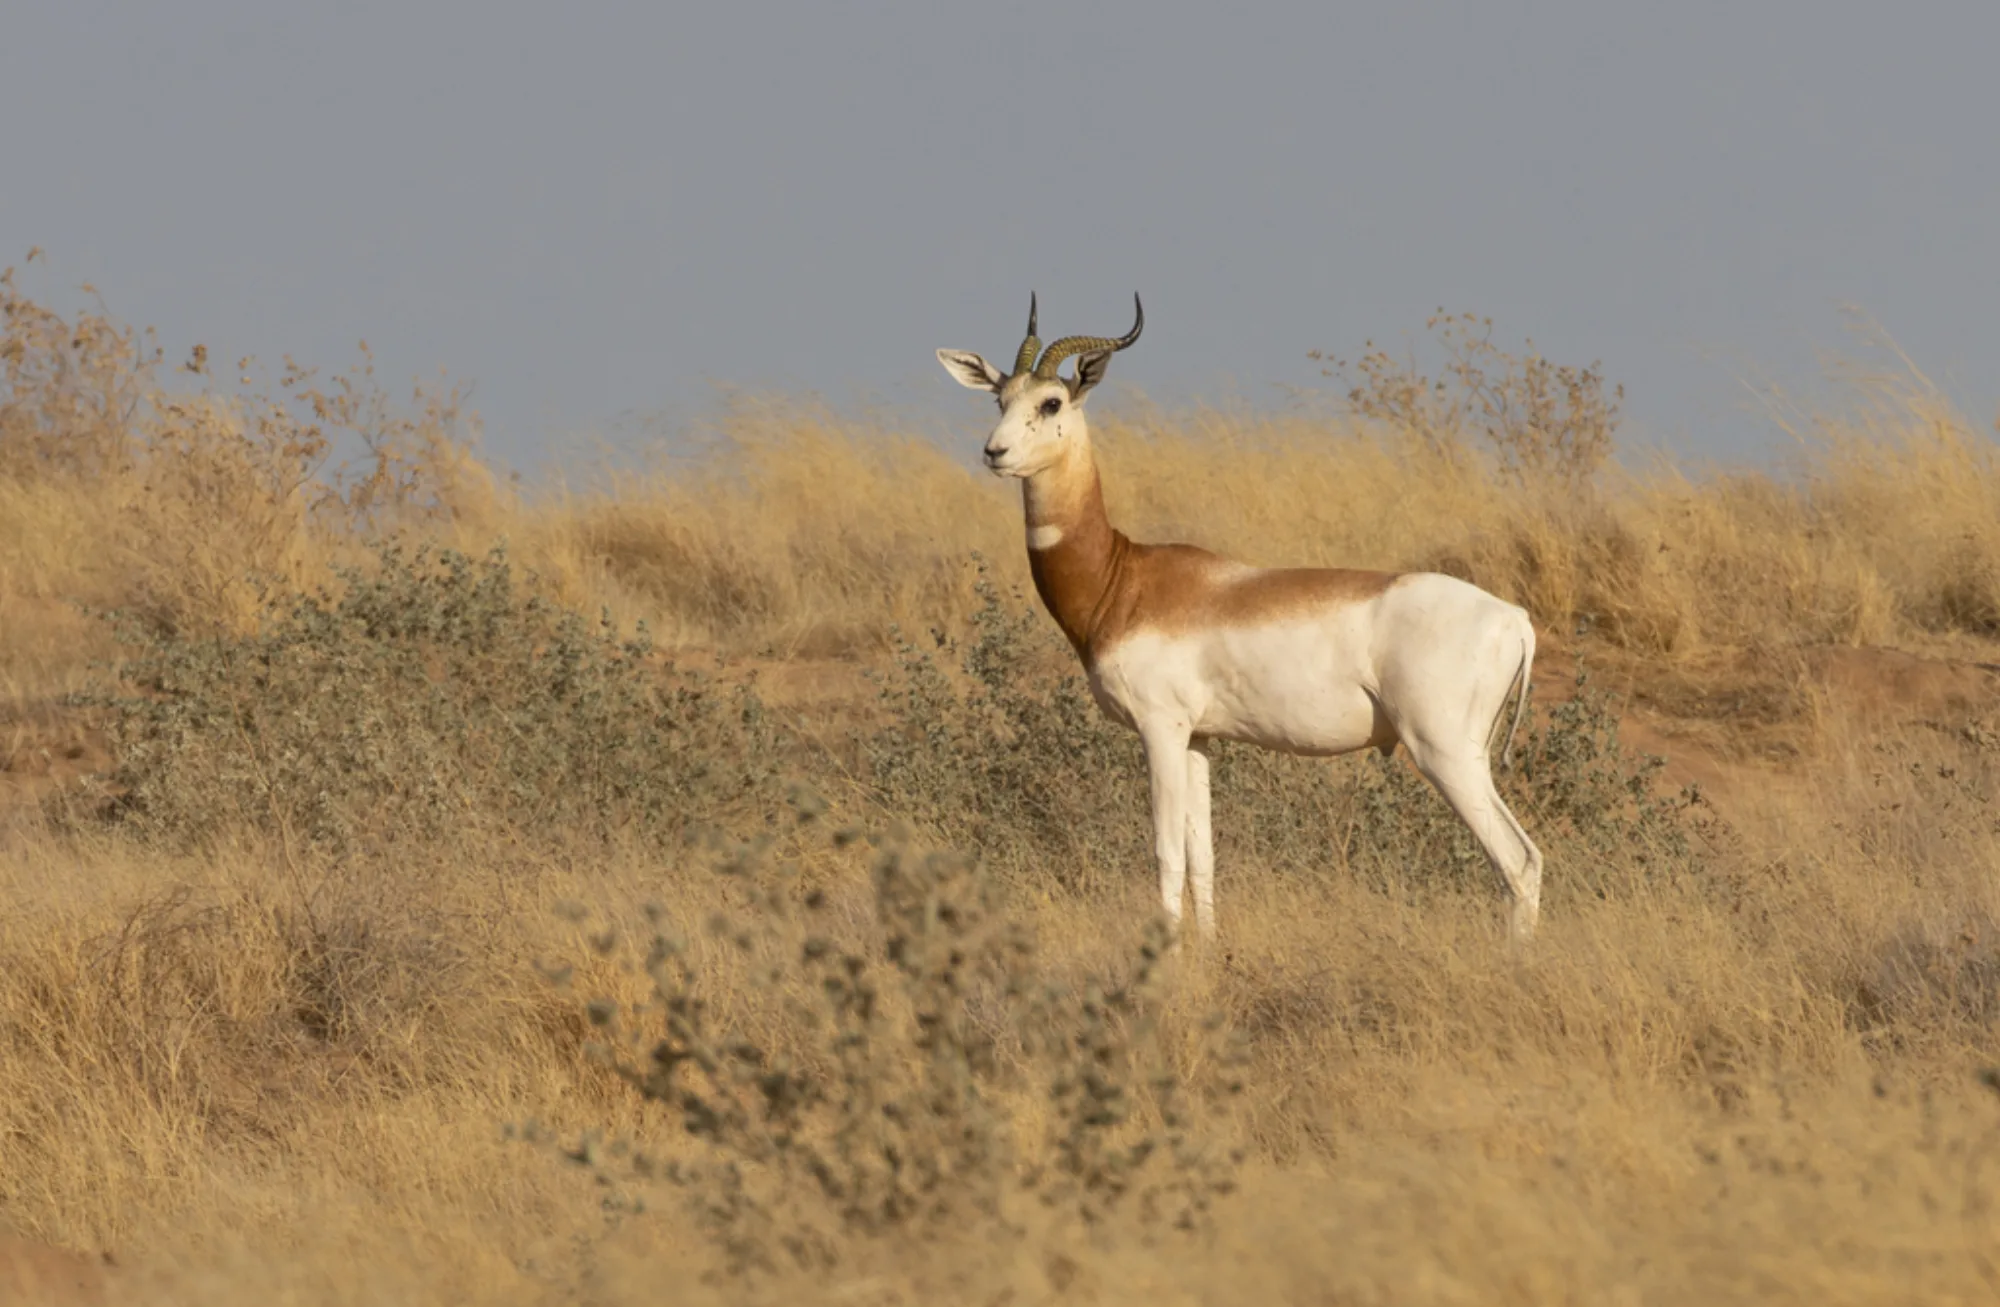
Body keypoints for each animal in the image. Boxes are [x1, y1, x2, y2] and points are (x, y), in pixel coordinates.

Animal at [936, 295, 1545, 943]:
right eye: (1000, 397)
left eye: (1051, 401)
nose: (994, 452)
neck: (1125, 577)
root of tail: (1515, 618)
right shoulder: (1199, 739)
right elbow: (1202, 857)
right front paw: (1207, 947)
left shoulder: (1159, 730)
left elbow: (1165, 853)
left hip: (1444, 753)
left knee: (1518, 859)